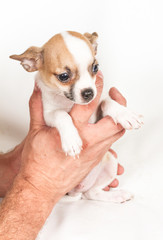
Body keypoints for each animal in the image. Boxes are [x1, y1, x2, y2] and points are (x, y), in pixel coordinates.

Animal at [9, 30, 143, 202]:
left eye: (95, 67)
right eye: (64, 76)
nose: (89, 93)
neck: (68, 101)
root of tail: (76, 190)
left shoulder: (98, 107)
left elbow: (107, 102)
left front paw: (125, 114)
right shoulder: (49, 114)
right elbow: (61, 115)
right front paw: (71, 140)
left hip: (110, 162)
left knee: (92, 193)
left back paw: (117, 195)